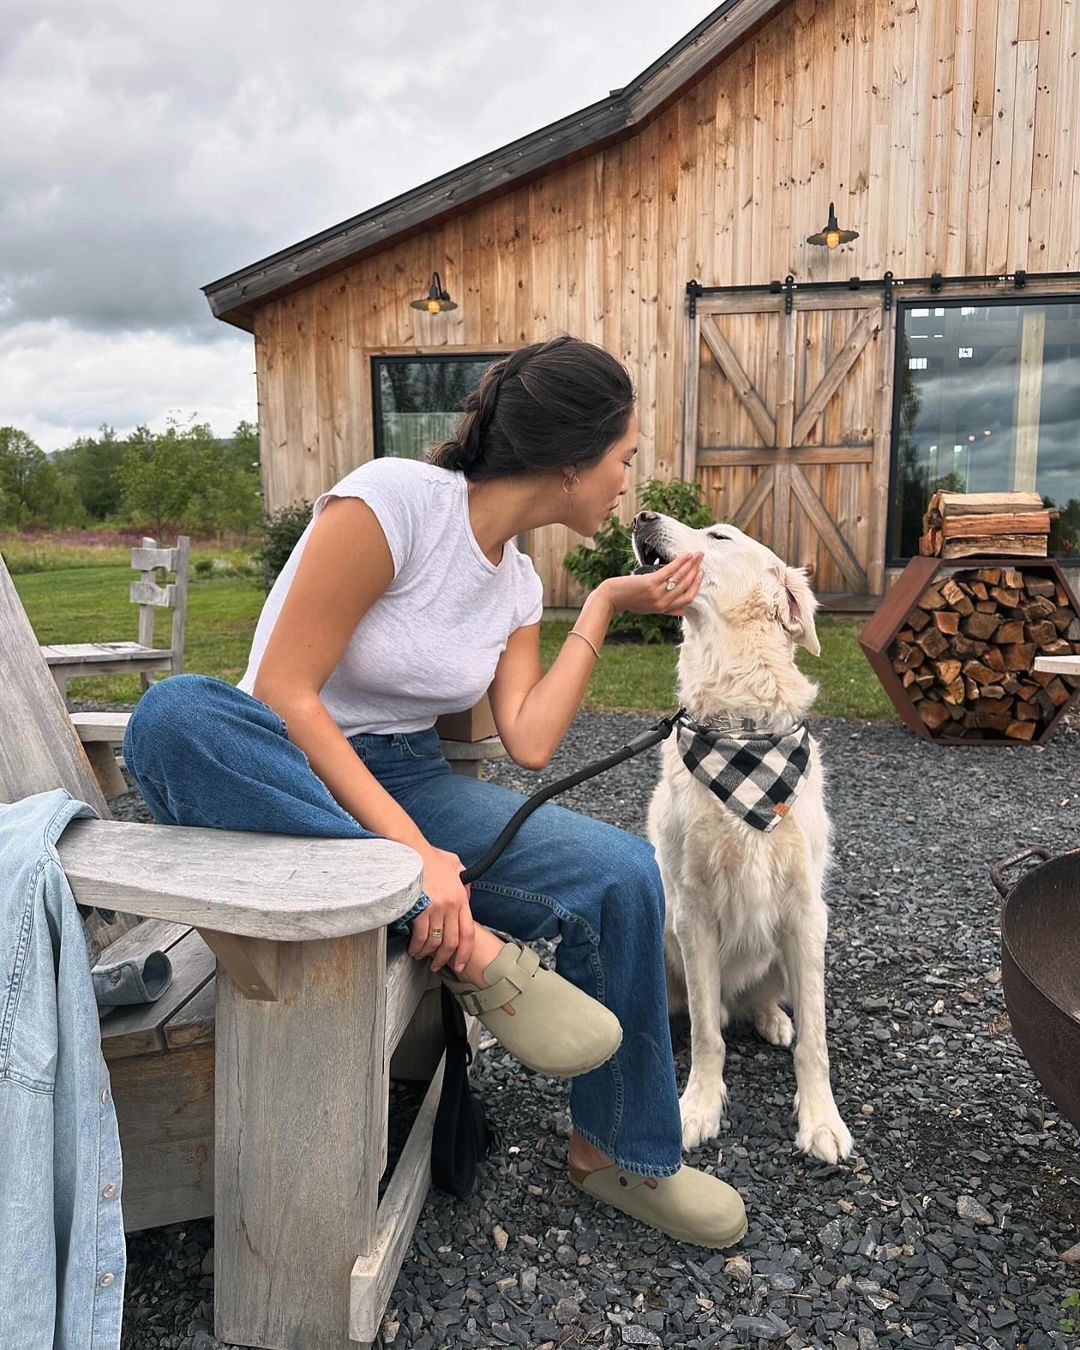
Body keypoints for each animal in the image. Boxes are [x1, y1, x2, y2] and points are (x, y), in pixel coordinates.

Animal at [631, 510, 853, 1166]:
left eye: (720, 536)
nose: (642, 515)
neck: (740, 733)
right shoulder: (693, 912)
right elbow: (708, 1034)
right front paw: (697, 1108)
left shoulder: (806, 912)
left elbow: (816, 1041)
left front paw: (821, 1120)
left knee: (769, 1001)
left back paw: (773, 1019)